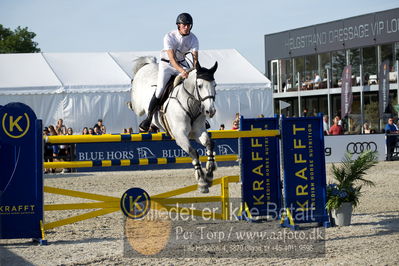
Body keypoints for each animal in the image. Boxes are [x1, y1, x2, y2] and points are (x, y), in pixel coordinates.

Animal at [129, 56, 219, 193]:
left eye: (215, 85)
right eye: (199, 85)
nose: (211, 111)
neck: (190, 103)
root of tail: (148, 65)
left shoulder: (198, 132)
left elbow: (209, 144)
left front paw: (209, 173)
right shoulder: (180, 135)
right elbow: (193, 152)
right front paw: (202, 181)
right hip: (138, 107)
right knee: (136, 106)